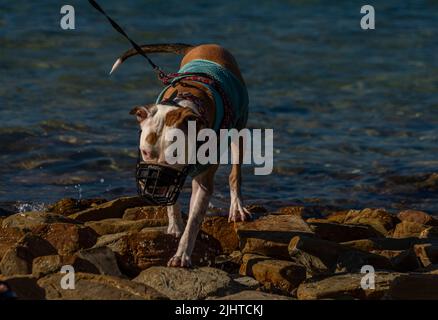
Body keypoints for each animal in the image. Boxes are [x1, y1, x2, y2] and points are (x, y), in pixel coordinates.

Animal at [111, 43, 252, 268]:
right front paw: (175, 226)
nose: (152, 186)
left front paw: (181, 255)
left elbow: (193, 222)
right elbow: (173, 201)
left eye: (175, 155)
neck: (184, 106)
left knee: (235, 174)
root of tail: (203, 45)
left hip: (239, 130)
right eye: (145, 152)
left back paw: (237, 207)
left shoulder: (202, 182)